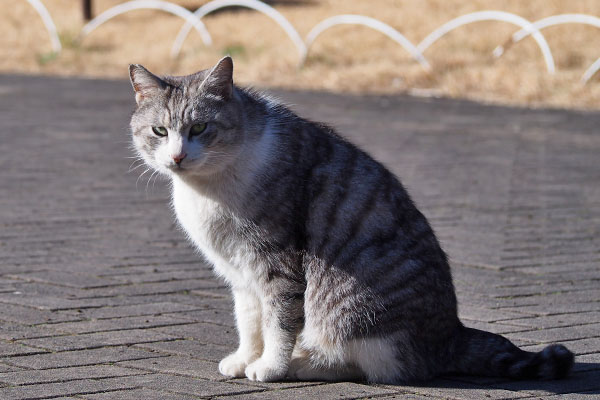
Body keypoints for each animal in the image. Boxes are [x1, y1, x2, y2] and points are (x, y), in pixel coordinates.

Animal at [129, 57, 576, 384]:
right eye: (159, 131)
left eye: (200, 128)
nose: (177, 157)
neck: (208, 188)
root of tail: (453, 333)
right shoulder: (239, 271)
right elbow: (249, 320)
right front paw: (244, 358)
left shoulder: (277, 261)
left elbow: (278, 321)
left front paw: (270, 366)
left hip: (352, 311)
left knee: (368, 364)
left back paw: (301, 362)